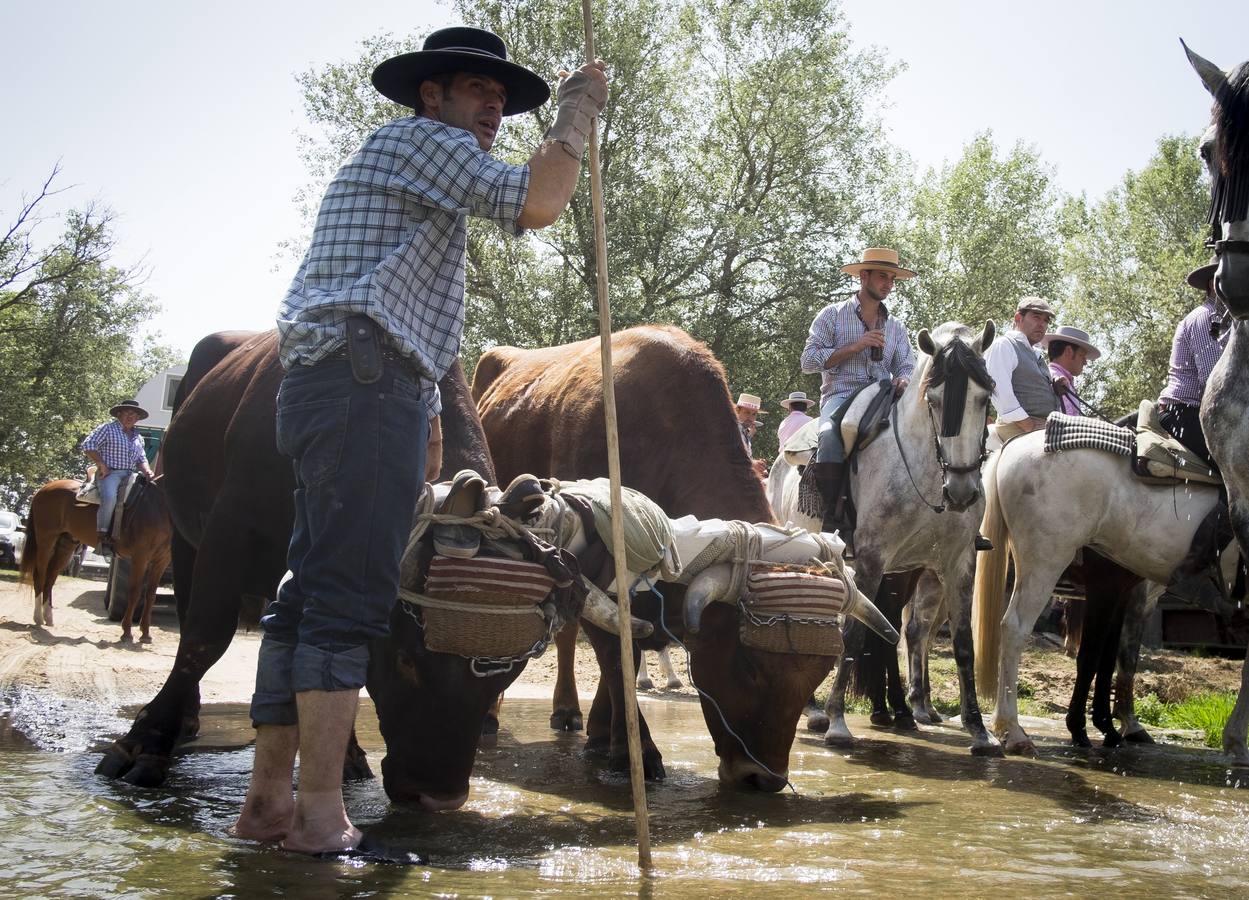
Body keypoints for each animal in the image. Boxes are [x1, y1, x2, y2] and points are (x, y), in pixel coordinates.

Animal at [20, 476, 172, 639]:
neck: (157, 504)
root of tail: (45, 487)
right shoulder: (140, 557)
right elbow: (135, 592)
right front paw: (126, 632)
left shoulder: (161, 561)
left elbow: (151, 595)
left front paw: (146, 633)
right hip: (46, 540)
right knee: (40, 576)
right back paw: (38, 617)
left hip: (65, 546)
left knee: (49, 580)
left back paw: (48, 617)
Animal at [764, 319, 999, 753]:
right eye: (933, 399)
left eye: (984, 396)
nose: (961, 491)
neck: (926, 476)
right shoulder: (872, 561)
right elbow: (855, 636)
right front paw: (839, 722)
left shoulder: (958, 563)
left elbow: (962, 643)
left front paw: (979, 729)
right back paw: (815, 711)